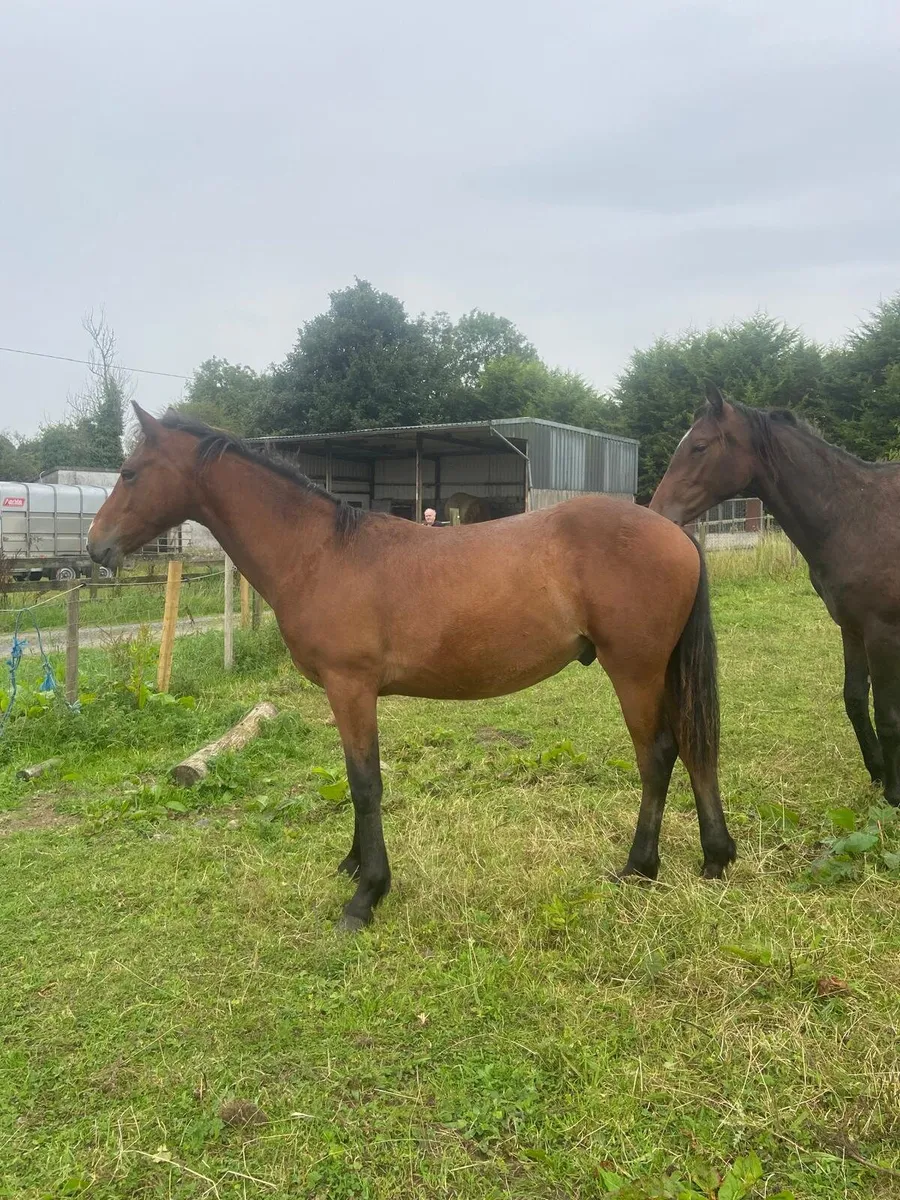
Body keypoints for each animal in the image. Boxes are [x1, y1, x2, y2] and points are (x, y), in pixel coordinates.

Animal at [88, 404, 736, 930]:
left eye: (130, 472)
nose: (96, 547)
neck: (321, 553)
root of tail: (673, 531)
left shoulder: (351, 688)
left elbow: (365, 784)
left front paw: (366, 896)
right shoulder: (344, 694)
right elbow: (357, 781)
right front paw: (354, 867)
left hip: (635, 671)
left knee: (657, 755)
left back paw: (639, 867)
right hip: (663, 672)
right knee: (694, 747)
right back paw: (716, 855)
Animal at [651, 382, 900, 808]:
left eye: (699, 446)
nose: (657, 514)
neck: (854, 515)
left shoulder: (882, 633)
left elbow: (887, 714)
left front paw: (895, 793)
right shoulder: (852, 628)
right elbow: (854, 699)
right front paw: (879, 770)